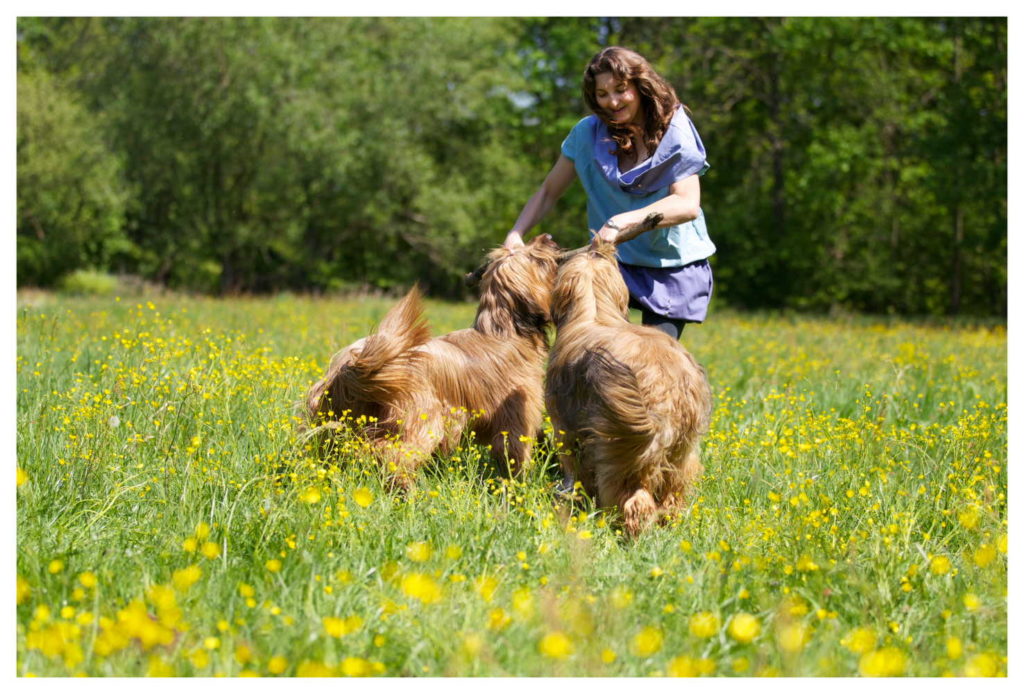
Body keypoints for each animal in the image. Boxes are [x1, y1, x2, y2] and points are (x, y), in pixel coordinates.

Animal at [301, 235, 561, 489]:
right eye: (536, 258)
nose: (548, 237)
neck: (503, 331)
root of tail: (351, 369)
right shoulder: (516, 416)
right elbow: (515, 452)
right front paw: (520, 484)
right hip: (423, 420)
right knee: (391, 454)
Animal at [544, 239, 712, 536]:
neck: (595, 310)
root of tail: (669, 394)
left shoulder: (564, 426)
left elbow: (574, 467)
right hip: (681, 451)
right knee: (672, 493)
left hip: (619, 448)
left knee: (635, 500)